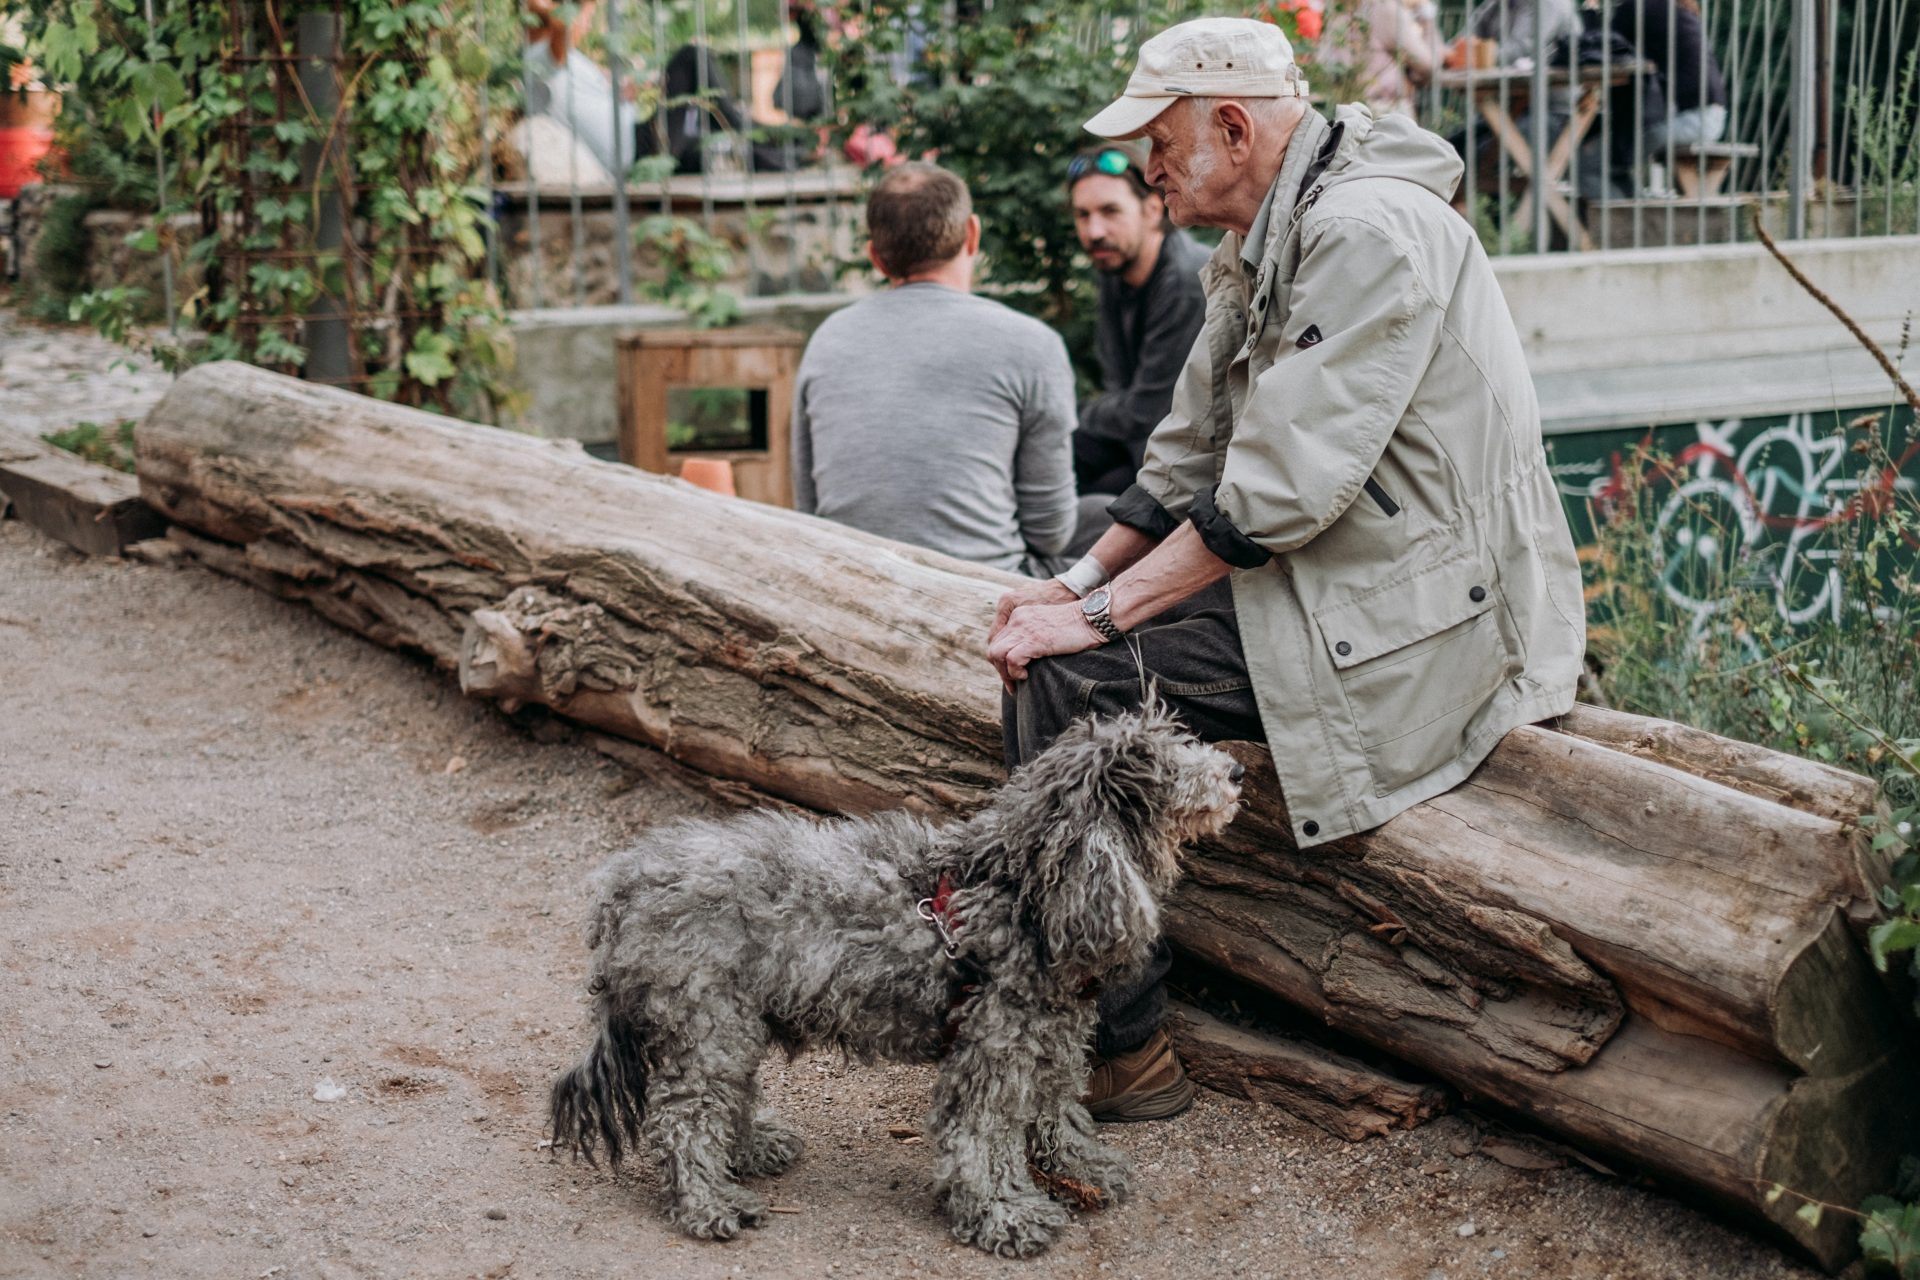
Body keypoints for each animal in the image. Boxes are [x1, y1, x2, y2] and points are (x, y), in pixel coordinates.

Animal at [552, 710, 1244, 1258]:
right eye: (1165, 763)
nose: (1236, 771)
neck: (1018, 890)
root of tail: (621, 887)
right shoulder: (992, 1051)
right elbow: (983, 1139)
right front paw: (1003, 1214)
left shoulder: (1047, 1042)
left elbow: (1058, 1114)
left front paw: (1083, 1168)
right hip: (705, 1021)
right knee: (686, 1116)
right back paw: (708, 1202)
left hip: (733, 1020)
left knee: (728, 1097)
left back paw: (750, 1150)